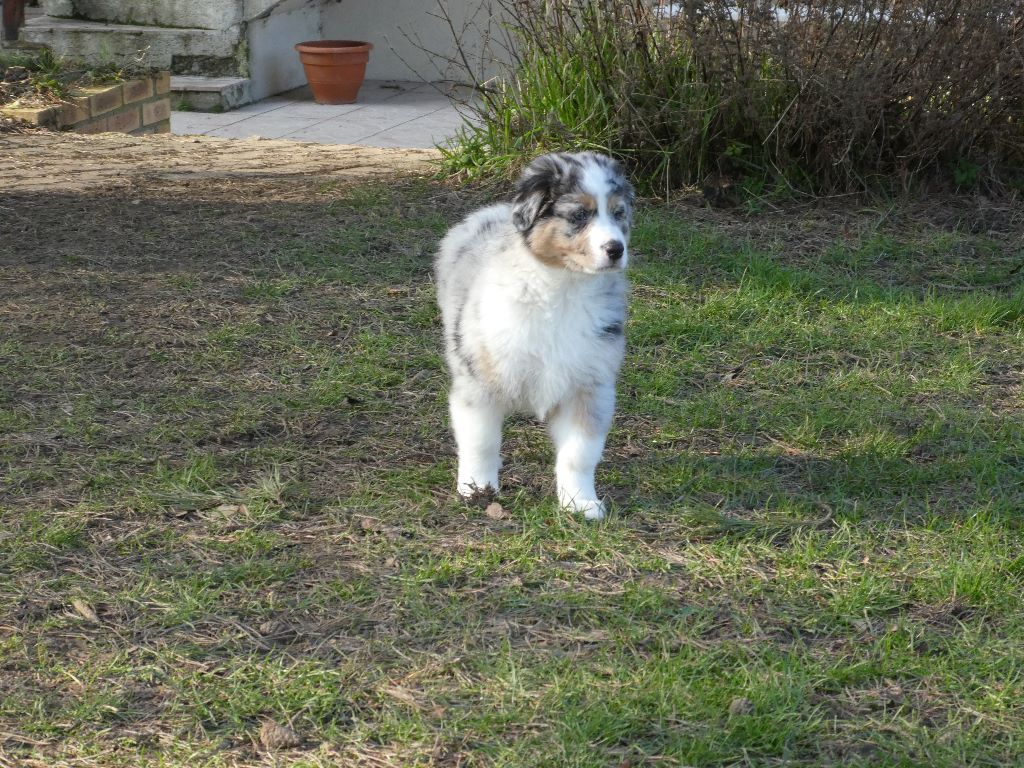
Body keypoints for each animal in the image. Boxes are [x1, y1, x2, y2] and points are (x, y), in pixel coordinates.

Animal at [434, 151, 635, 520]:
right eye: (579, 215)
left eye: (619, 213)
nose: (616, 249)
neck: (562, 288)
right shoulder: (478, 381)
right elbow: (480, 440)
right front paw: (476, 488)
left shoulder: (590, 387)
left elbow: (579, 453)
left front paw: (580, 502)